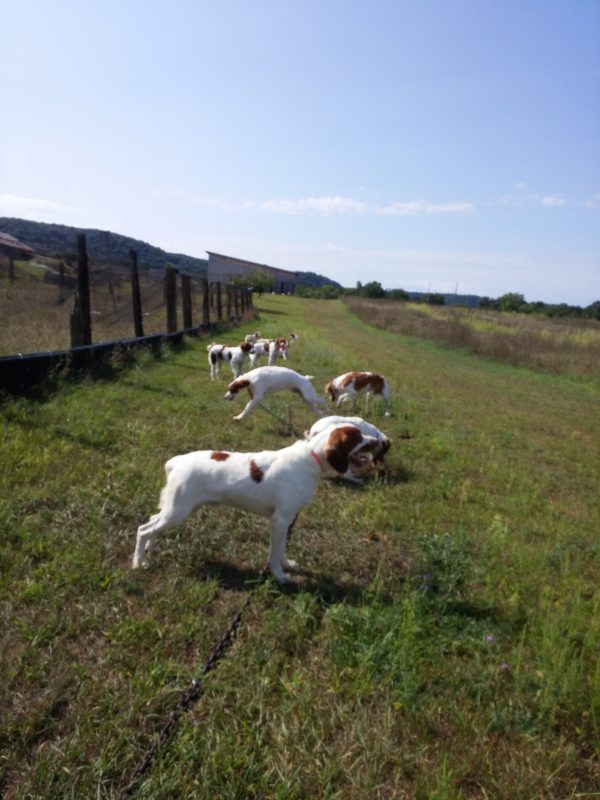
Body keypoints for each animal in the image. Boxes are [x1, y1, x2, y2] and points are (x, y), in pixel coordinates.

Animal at [132, 424, 380, 580]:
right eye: (358, 437)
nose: (377, 440)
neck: (310, 459)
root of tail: (175, 462)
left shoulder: (286, 520)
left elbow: (280, 549)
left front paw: (287, 565)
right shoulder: (280, 520)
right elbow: (275, 552)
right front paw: (279, 575)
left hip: (177, 509)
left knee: (152, 523)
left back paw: (151, 548)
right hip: (178, 510)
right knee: (143, 528)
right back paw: (139, 562)